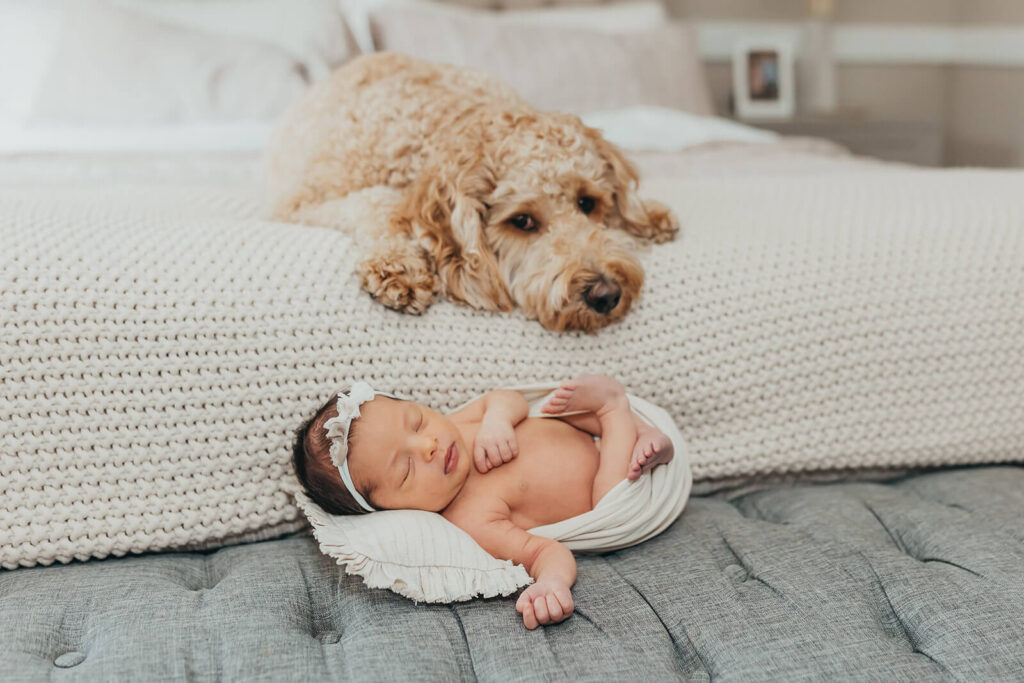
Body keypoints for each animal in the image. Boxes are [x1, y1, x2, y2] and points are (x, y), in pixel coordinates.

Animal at [268, 52, 675, 331]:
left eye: (587, 202)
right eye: (523, 221)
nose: (606, 294)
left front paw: (647, 214)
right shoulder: (297, 203)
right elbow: (377, 202)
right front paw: (399, 265)